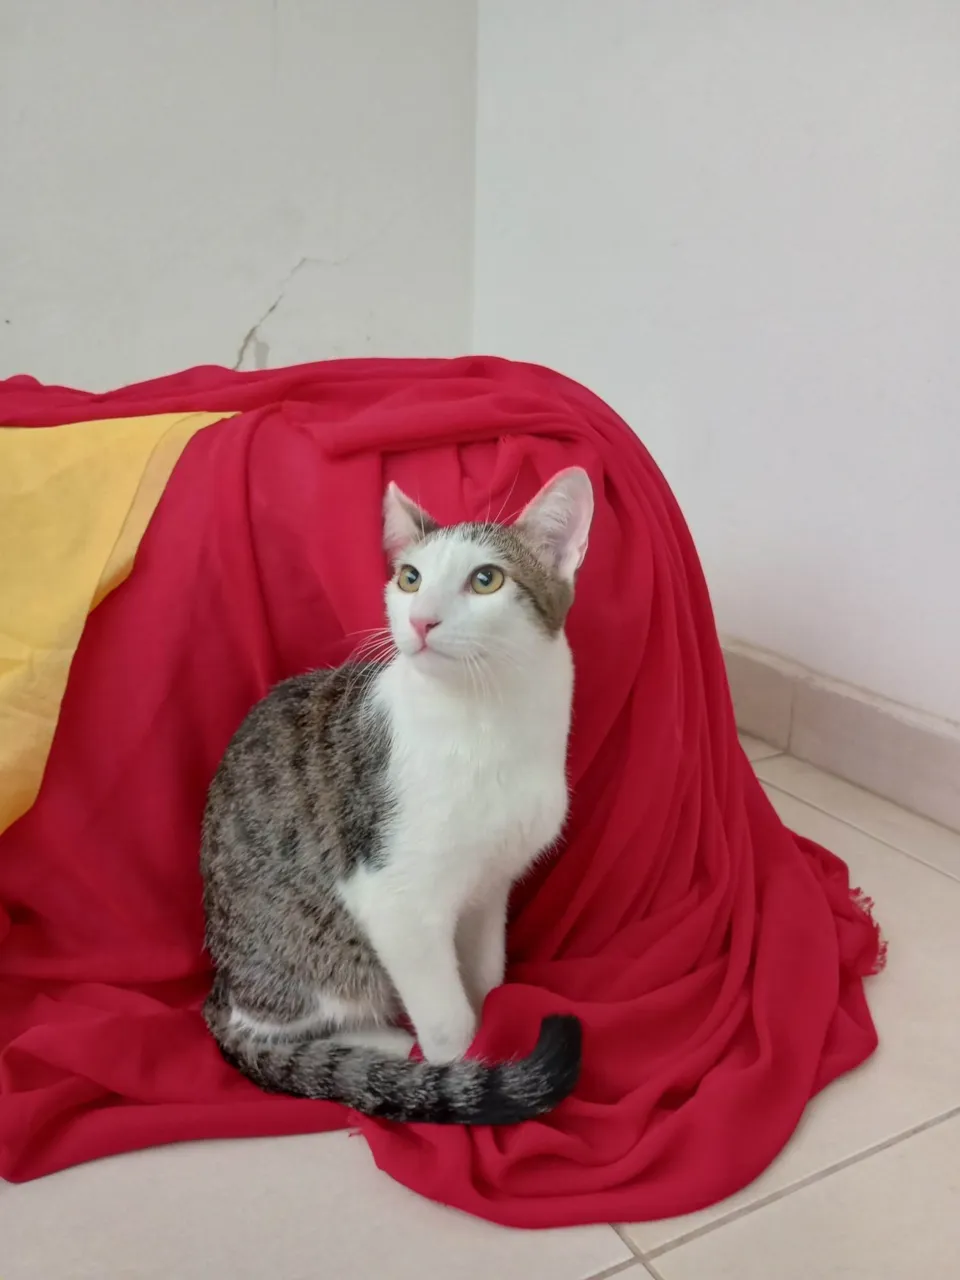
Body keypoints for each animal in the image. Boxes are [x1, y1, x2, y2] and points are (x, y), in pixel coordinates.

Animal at [200, 466, 593, 1125]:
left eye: (486, 579)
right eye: (410, 578)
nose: (421, 620)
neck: (487, 723)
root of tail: (221, 988)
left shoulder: (490, 886)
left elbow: (486, 972)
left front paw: (495, 1014)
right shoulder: (395, 901)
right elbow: (447, 1018)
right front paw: (460, 1074)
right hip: (314, 960)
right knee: (273, 1027)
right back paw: (379, 1043)